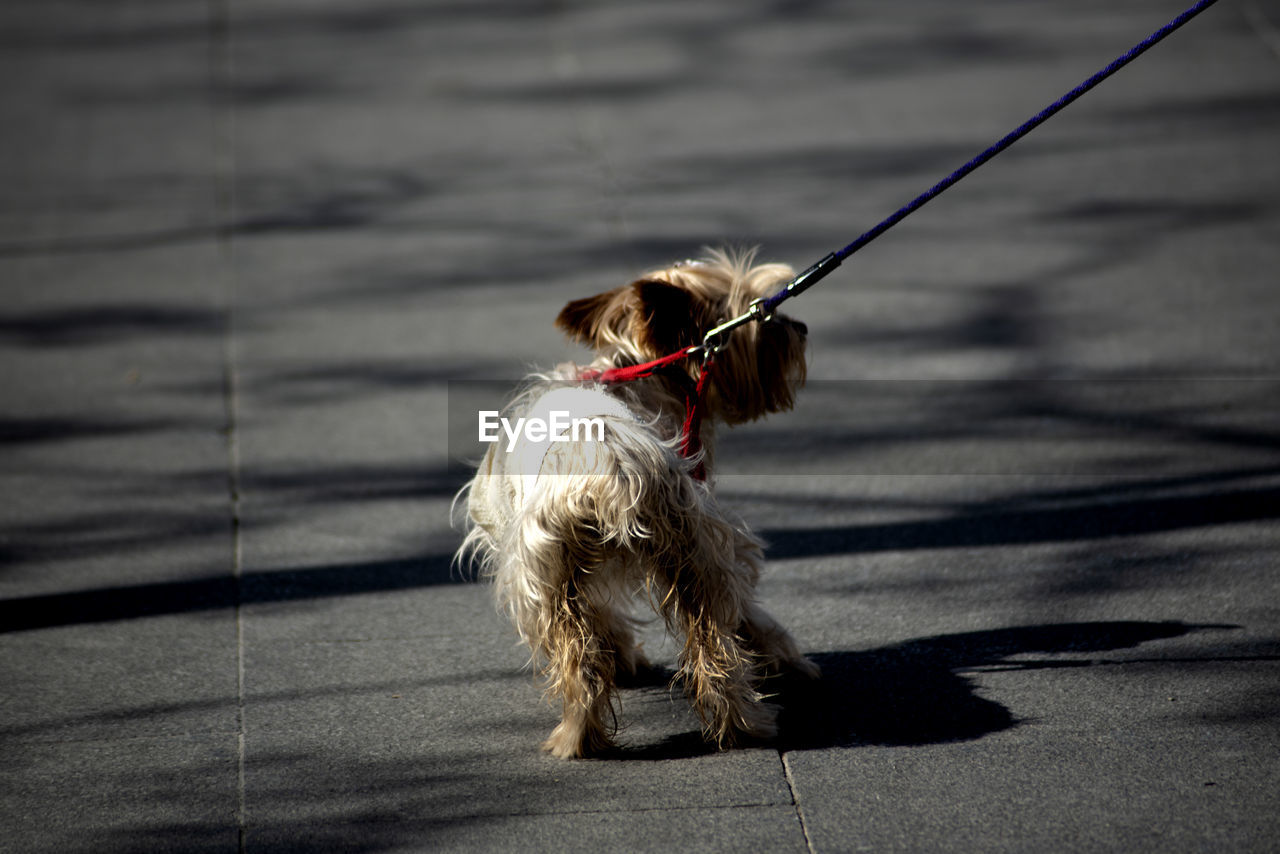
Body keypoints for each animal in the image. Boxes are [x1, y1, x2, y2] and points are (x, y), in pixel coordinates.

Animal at [460, 250, 819, 757]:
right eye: (759, 314)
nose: (800, 327)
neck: (637, 372)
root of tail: (607, 458)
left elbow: (603, 619)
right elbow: (749, 614)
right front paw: (788, 663)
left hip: (552, 575)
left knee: (583, 658)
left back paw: (579, 737)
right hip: (693, 550)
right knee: (714, 637)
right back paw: (744, 724)